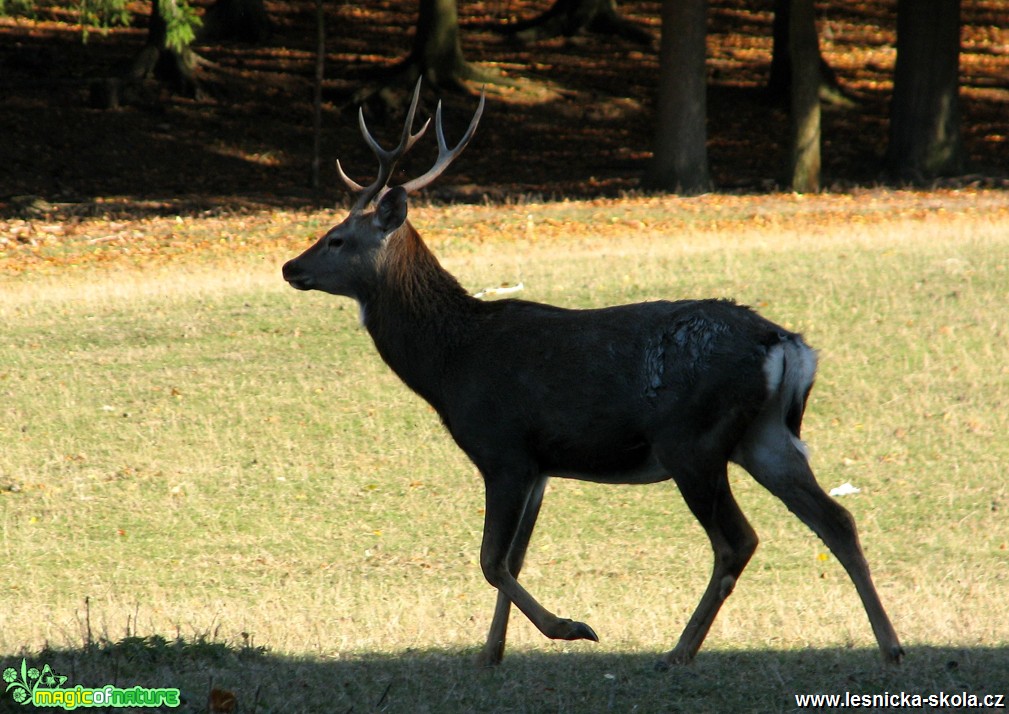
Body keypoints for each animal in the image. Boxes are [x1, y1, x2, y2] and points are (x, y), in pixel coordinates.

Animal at [280, 83, 904, 669]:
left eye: (336, 238)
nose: (290, 267)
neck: (451, 364)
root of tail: (787, 345)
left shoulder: (504, 448)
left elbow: (491, 561)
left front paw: (570, 629)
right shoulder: (540, 466)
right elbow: (514, 558)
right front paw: (490, 654)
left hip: (692, 441)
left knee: (737, 541)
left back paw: (678, 651)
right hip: (765, 436)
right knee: (837, 520)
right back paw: (890, 645)